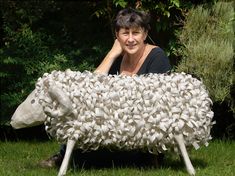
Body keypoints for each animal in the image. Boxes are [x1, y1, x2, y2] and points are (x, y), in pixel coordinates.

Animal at [33, 69, 215, 176]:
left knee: (180, 142)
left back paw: (190, 169)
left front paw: (62, 171)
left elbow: (70, 145)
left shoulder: (75, 128)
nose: (15, 119)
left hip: (176, 126)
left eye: (35, 101)